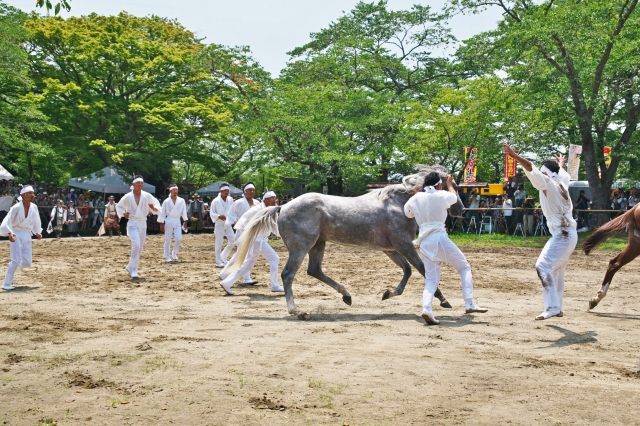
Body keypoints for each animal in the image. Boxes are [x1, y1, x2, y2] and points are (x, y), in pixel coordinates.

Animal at [232, 166, 462, 320]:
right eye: (454, 186)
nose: (459, 209)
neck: (401, 203)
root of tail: (283, 206)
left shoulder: (391, 249)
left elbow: (407, 270)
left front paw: (388, 294)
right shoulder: (404, 245)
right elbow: (422, 270)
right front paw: (444, 300)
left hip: (318, 244)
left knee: (314, 270)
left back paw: (347, 296)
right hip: (301, 247)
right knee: (288, 275)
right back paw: (298, 311)